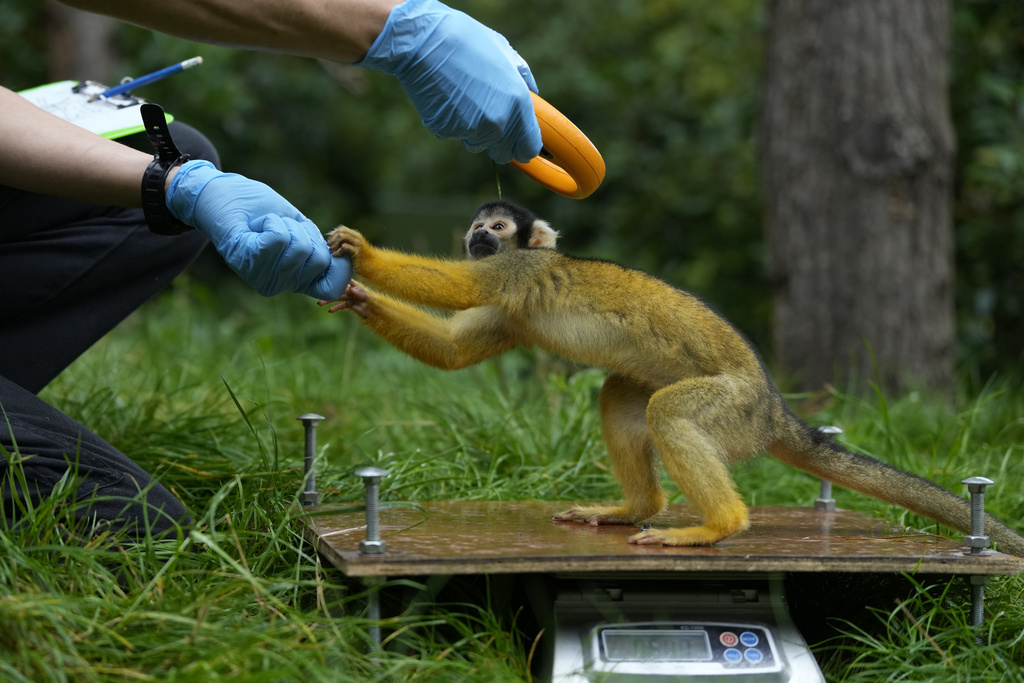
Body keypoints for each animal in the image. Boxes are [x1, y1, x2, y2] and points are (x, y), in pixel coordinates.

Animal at [323, 198, 1024, 557]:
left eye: (496, 227)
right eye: (476, 224)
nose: (476, 234)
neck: (527, 257)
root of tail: (775, 409)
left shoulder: (514, 272)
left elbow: (458, 284)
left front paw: (363, 255)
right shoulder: (509, 306)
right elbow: (452, 352)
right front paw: (357, 296)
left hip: (734, 408)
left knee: (674, 413)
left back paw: (717, 526)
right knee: (622, 394)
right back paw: (636, 509)